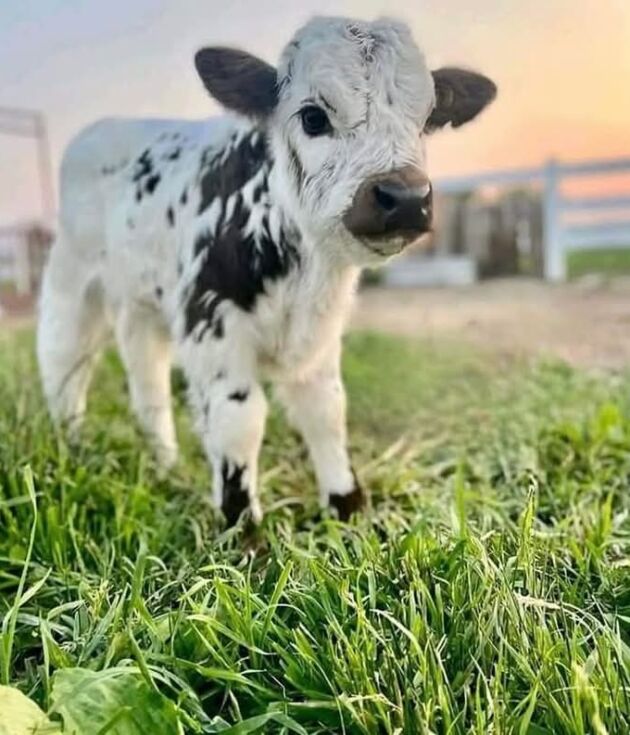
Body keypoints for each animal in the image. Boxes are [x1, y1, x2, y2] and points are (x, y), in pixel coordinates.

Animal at [37, 16, 496, 526]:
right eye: (313, 116)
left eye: (426, 119)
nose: (405, 197)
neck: (304, 274)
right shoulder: (212, 323)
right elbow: (238, 421)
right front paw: (242, 527)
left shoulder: (319, 339)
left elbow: (326, 410)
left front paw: (348, 508)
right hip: (72, 282)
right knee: (62, 363)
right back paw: (69, 449)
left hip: (142, 305)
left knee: (148, 386)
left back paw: (166, 466)